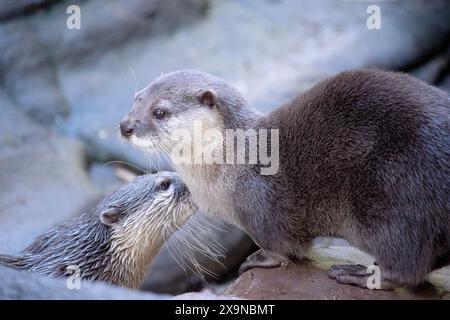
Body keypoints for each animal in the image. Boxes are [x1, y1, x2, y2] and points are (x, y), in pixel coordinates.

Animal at [119, 70, 450, 290]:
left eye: (160, 112)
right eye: (136, 99)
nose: (125, 126)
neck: (234, 160)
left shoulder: (260, 208)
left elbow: (283, 247)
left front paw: (259, 259)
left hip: (393, 195)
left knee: (407, 265)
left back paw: (359, 274)